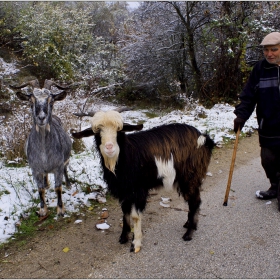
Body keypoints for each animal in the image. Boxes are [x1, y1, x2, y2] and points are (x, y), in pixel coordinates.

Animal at [10, 79, 72, 217]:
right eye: (30, 101)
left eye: (51, 101)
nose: (42, 118)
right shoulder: (35, 169)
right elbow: (40, 189)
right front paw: (43, 209)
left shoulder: (58, 166)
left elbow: (58, 188)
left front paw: (60, 209)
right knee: (45, 176)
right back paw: (46, 183)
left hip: (65, 160)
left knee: (66, 169)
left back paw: (69, 184)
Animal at [70, 109, 214, 252]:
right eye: (97, 131)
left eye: (119, 130)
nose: (109, 147)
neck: (126, 157)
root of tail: (204, 138)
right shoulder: (124, 191)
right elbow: (125, 213)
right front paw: (124, 236)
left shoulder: (138, 190)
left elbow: (135, 216)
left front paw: (136, 243)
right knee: (191, 200)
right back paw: (188, 224)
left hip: (190, 177)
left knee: (195, 201)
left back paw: (189, 233)